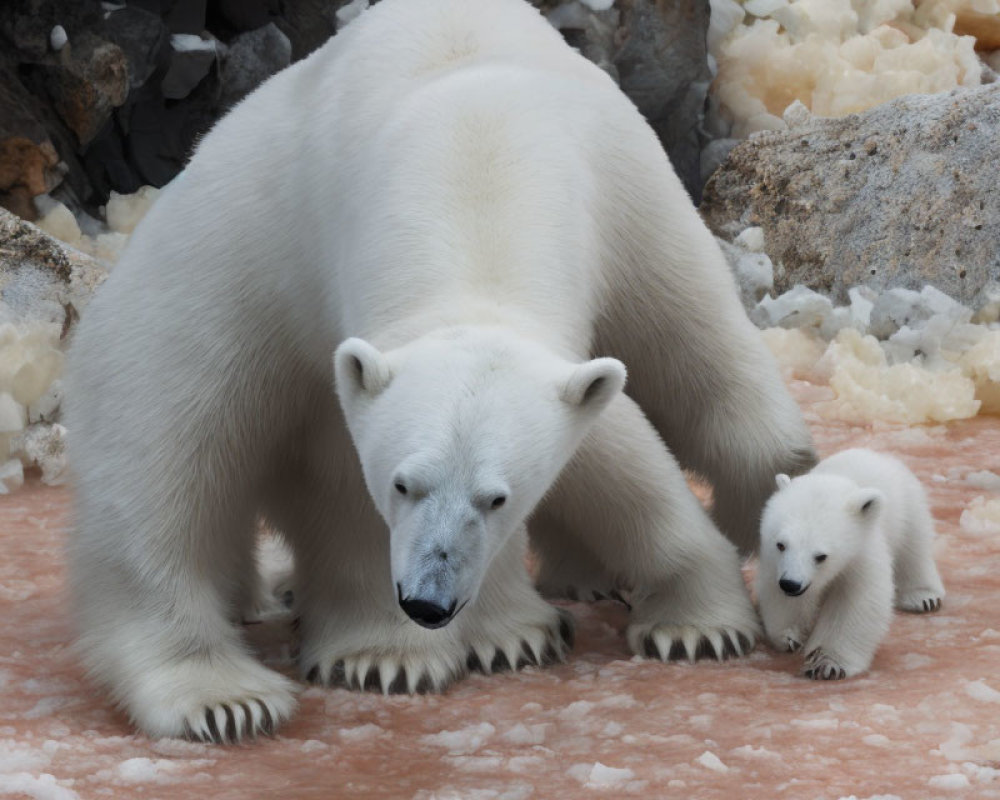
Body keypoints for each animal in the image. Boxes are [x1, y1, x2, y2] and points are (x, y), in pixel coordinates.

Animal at [66, 0, 816, 740]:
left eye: (500, 497)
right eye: (402, 484)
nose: (427, 604)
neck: (472, 158)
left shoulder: (613, 234)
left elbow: (638, 424)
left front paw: (702, 618)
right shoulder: (316, 305)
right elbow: (333, 484)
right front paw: (386, 655)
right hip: (193, 307)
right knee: (163, 470)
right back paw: (231, 694)